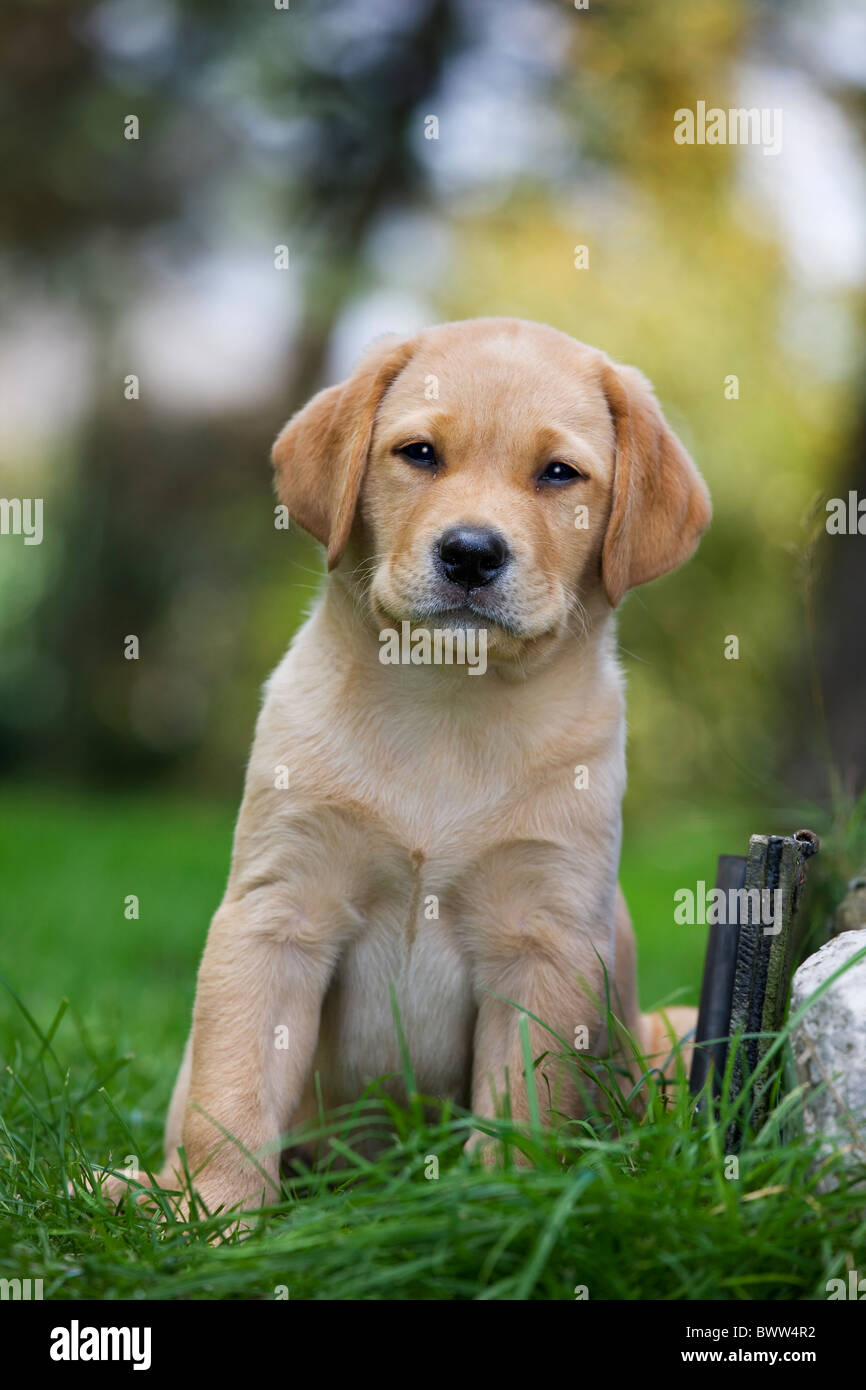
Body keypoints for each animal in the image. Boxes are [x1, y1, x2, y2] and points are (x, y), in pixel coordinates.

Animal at [100, 315, 711, 1217]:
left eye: (559, 473)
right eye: (419, 454)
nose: (471, 554)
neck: (446, 704)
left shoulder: (545, 939)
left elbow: (524, 1107)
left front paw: (500, 1209)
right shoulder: (277, 910)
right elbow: (234, 1089)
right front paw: (215, 1217)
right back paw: (134, 1188)